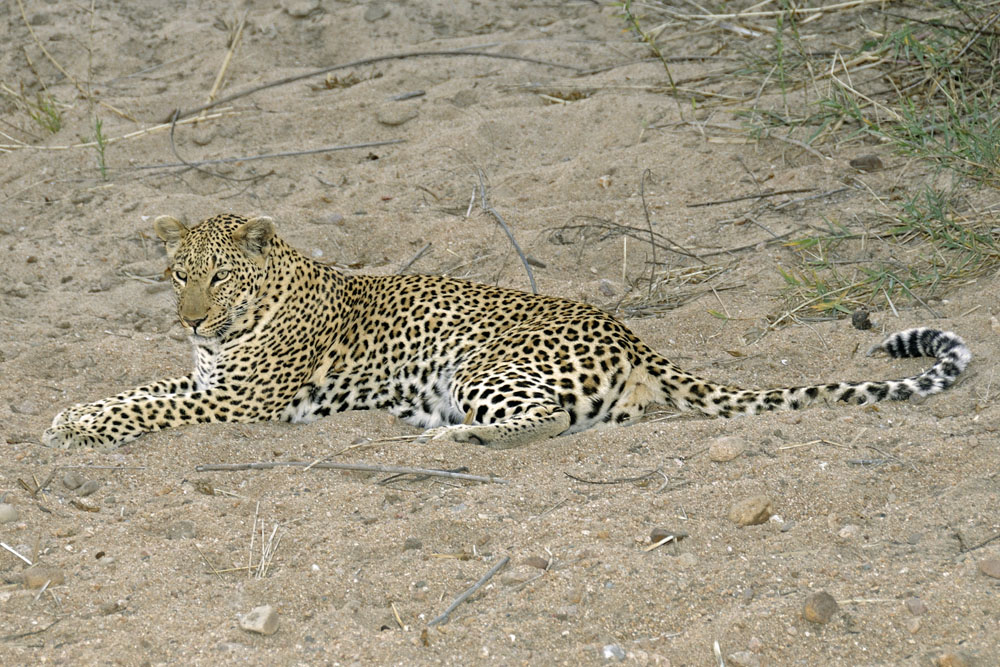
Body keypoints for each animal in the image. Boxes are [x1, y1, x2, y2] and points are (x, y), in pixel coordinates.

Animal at [43, 213, 971, 451]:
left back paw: (448, 438)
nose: (191, 316)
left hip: (482, 367)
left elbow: (148, 406)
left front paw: (82, 426)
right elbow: (141, 389)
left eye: (219, 277)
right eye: (178, 273)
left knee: (546, 419)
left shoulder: (234, 402)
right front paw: (68, 414)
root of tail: (630, 336)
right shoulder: (209, 381)